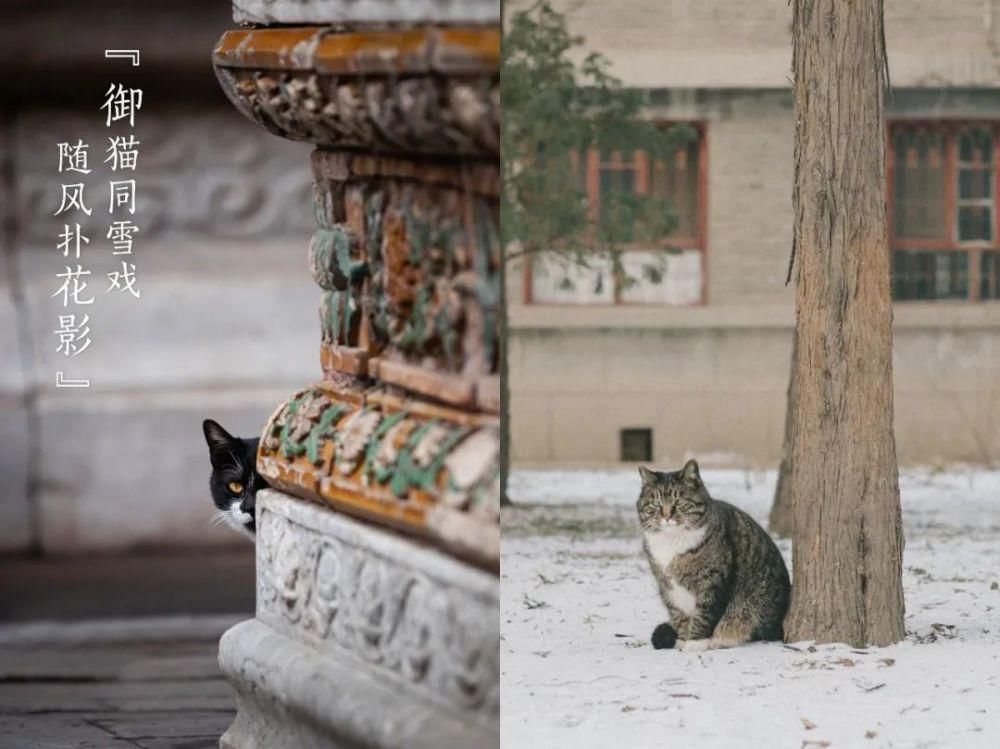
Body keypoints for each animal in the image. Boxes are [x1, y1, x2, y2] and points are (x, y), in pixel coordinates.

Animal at [636, 458, 792, 652]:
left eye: (678, 502)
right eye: (656, 504)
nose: (666, 516)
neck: (672, 540)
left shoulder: (712, 580)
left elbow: (705, 613)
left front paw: (695, 642)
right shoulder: (668, 587)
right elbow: (678, 613)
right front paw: (682, 638)